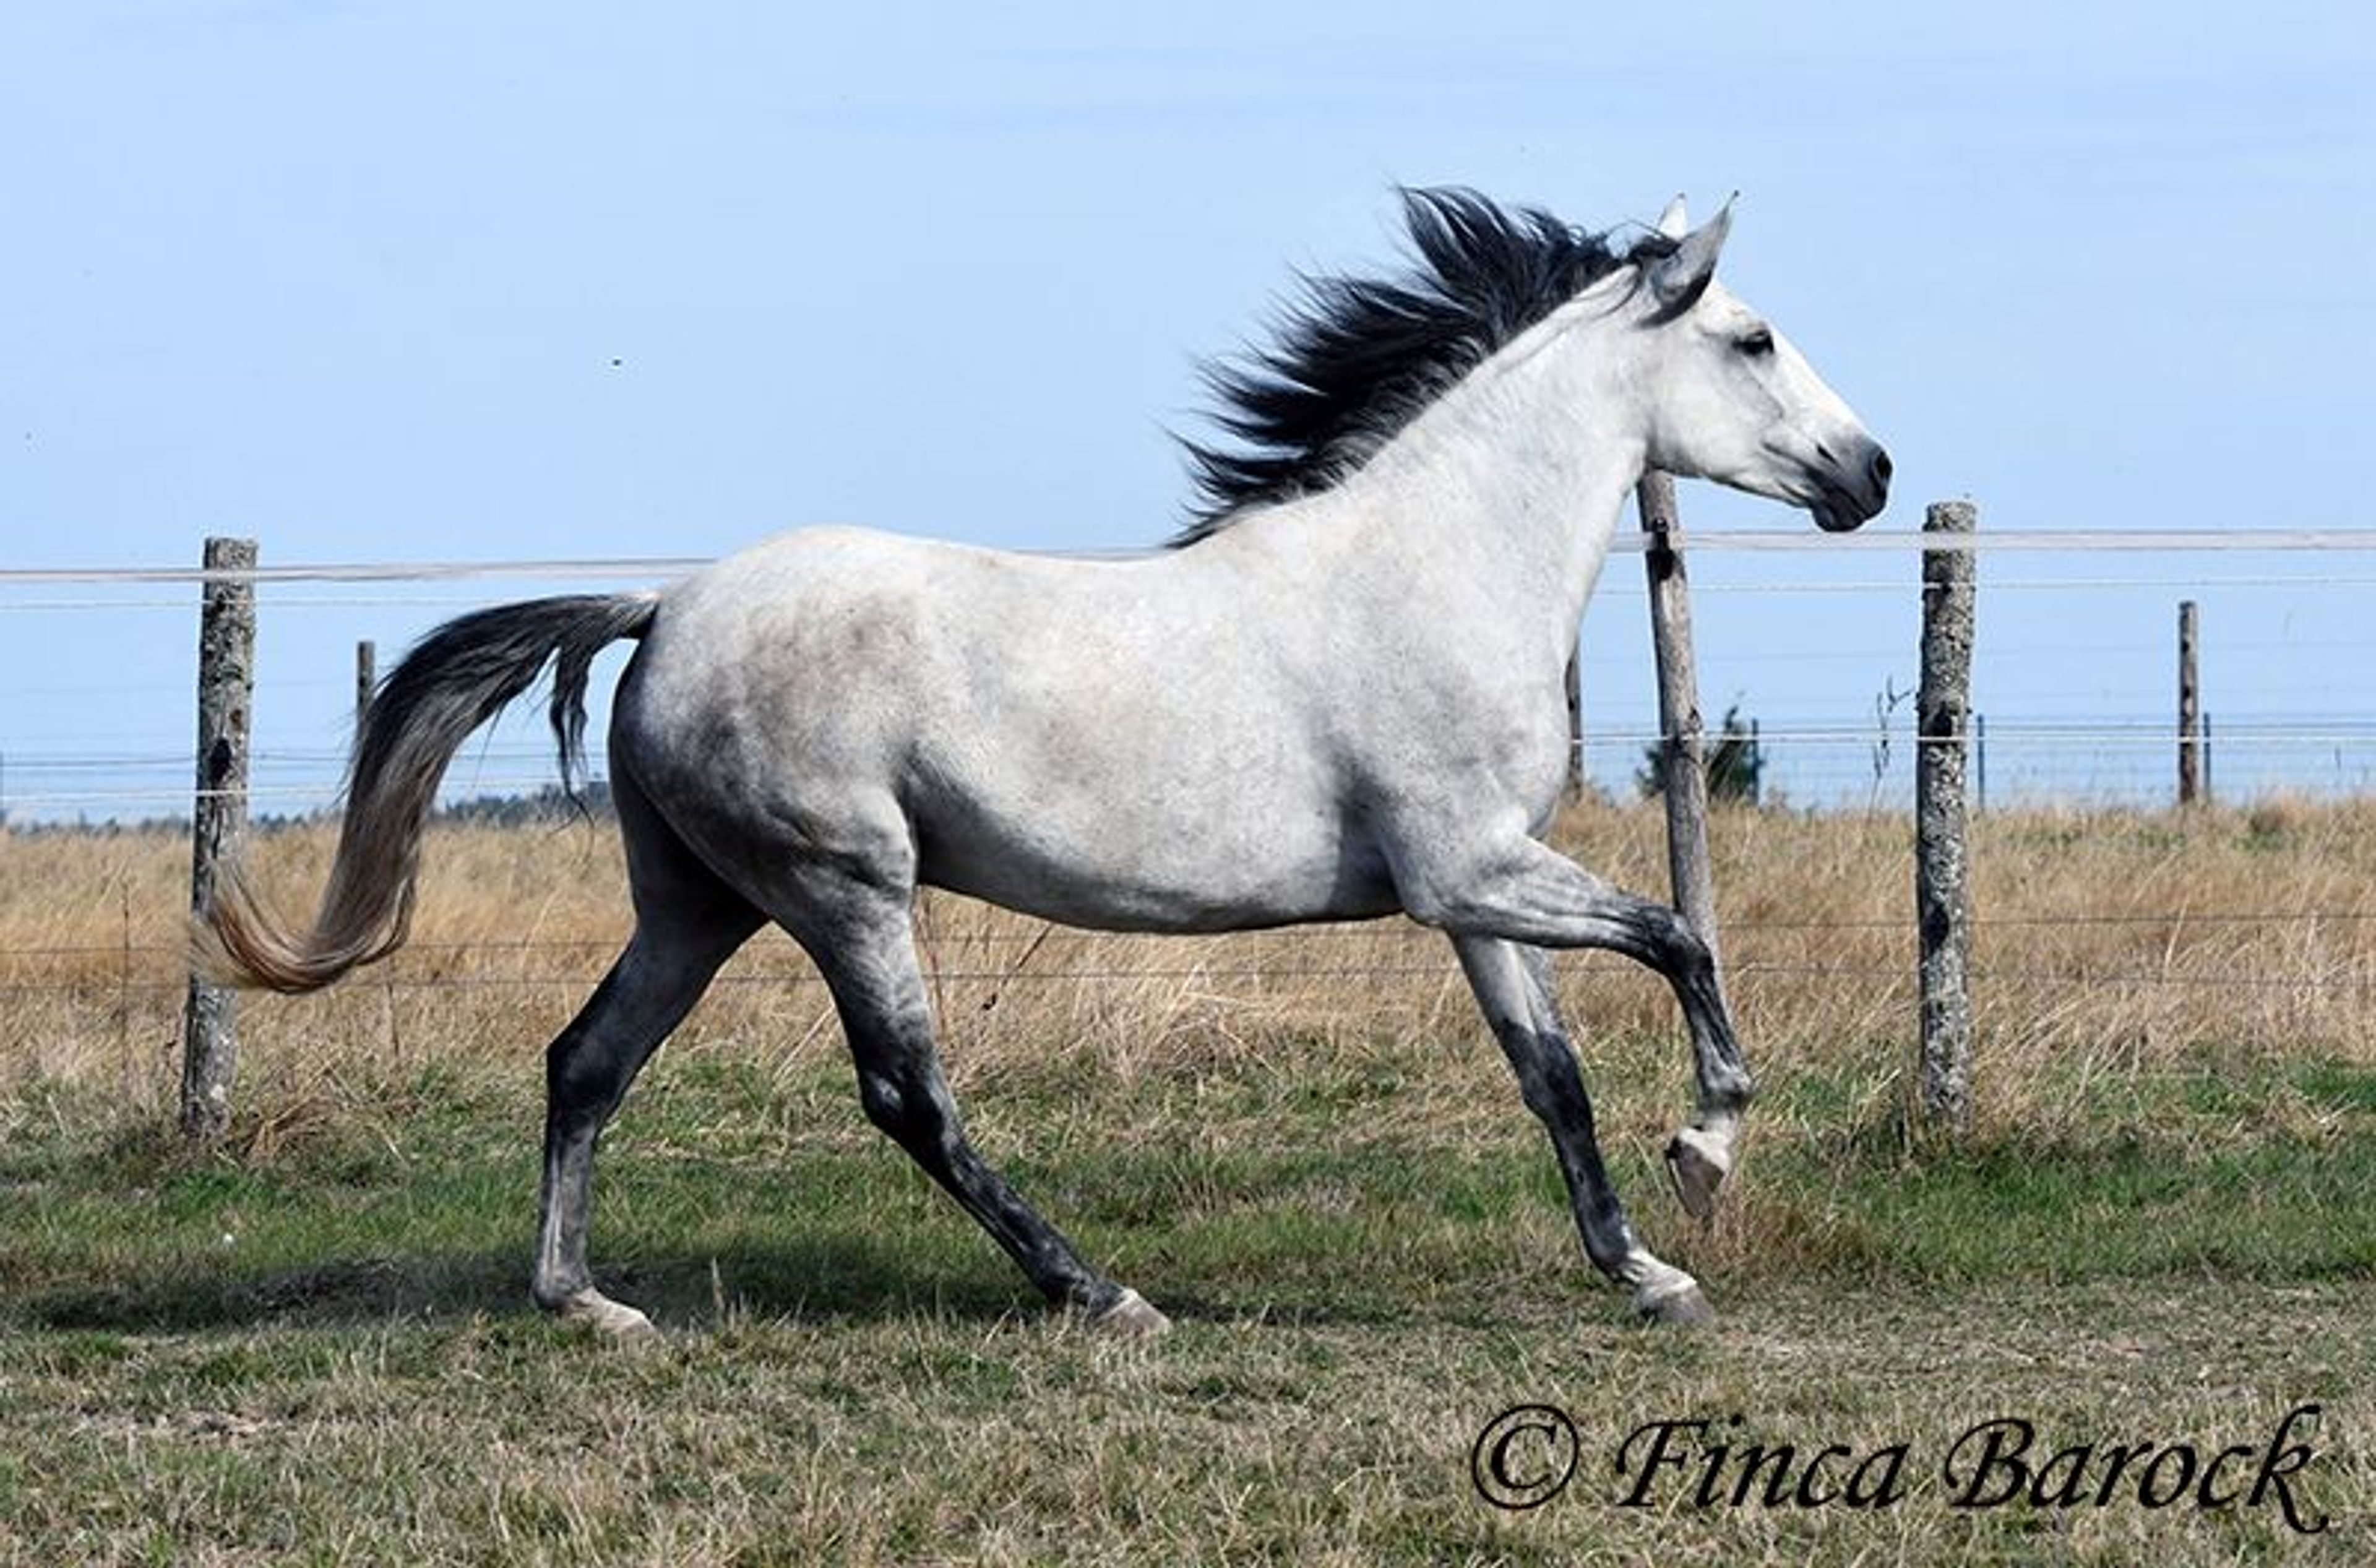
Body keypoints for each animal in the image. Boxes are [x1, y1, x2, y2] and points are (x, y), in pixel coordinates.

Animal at [206, 189, 1890, 1335]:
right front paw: (1708, 1151)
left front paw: (1646, 1268)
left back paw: (587, 1303)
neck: (1432, 563)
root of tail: (668, 606)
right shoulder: (1467, 869)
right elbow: (1678, 939)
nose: (1868, 474)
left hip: (700, 901)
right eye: (1750, 338)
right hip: (845, 891)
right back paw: (1098, 1292)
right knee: (908, 1097)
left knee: (586, 1060)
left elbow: (1552, 1077)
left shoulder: (1473, 888)